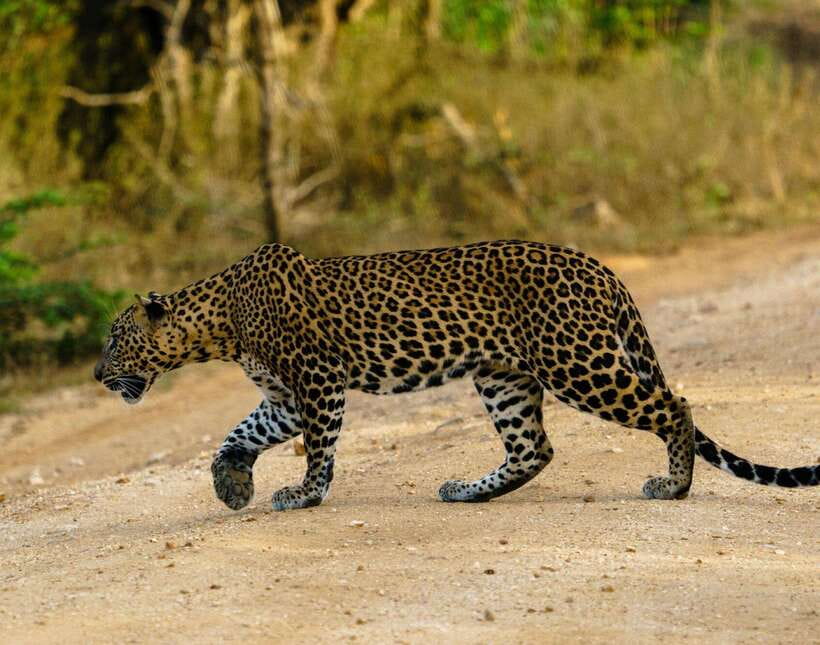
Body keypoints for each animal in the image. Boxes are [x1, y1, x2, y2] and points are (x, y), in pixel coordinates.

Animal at [94, 241, 818, 511]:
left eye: (115, 339)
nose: (97, 374)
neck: (218, 323)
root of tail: (602, 266)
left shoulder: (318, 384)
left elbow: (320, 451)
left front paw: (303, 495)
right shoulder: (284, 398)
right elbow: (236, 435)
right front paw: (232, 484)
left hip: (579, 363)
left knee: (677, 405)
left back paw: (674, 485)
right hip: (503, 375)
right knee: (534, 448)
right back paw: (469, 491)